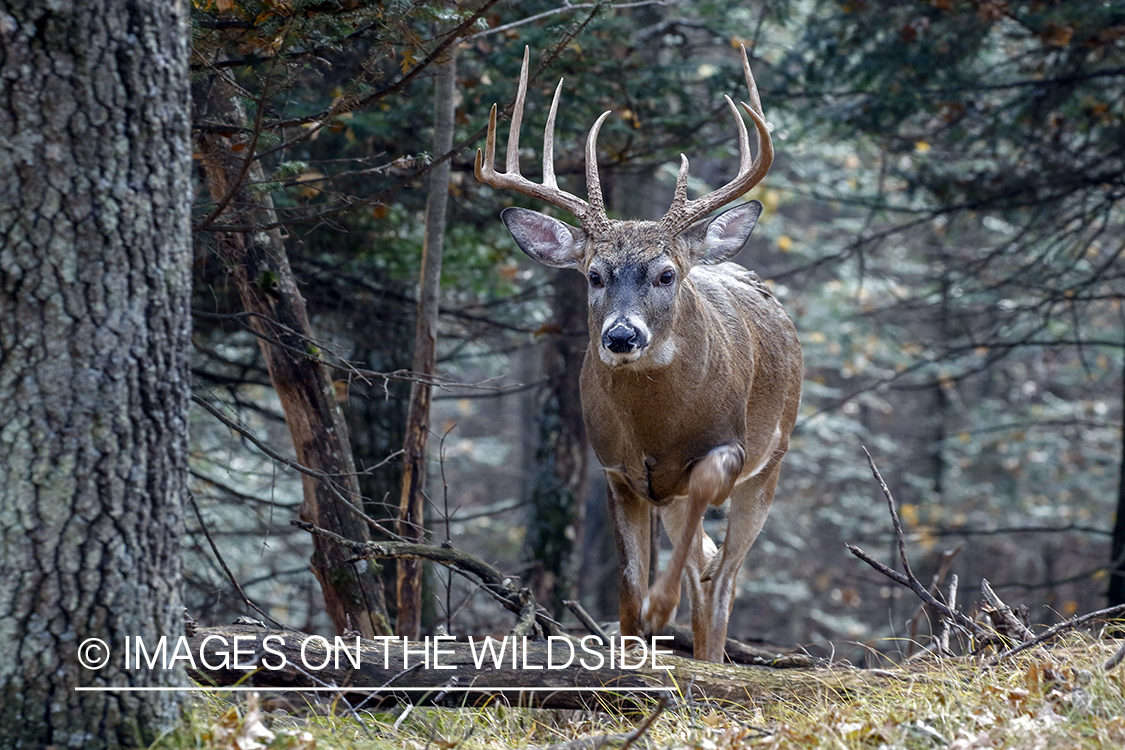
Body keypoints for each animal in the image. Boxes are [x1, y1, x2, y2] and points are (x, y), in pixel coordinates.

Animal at [479, 45, 805, 661]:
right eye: (594, 274)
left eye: (665, 273)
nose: (621, 337)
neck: (657, 427)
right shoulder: (616, 470)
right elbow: (628, 590)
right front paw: (631, 647)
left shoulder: (726, 448)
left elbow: (698, 555)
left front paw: (661, 607)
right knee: (706, 572)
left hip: (770, 464)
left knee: (723, 580)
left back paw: (710, 650)